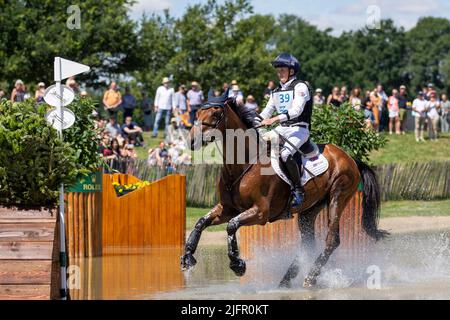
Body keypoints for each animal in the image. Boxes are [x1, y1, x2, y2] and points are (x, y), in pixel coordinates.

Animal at [179, 97, 386, 288]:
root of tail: (350, 158)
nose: (191, 141)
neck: (242, 164)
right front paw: (187, 257)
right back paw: (287, 279)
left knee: (332, 240)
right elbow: (201, 222)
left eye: (216, 114)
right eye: (198, 113)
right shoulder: (228, 208)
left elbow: (231, 226)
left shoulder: (260, 213)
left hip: (338, 196)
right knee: (307, 244)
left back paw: (310, 277)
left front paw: (237, 264)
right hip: (309, 209)